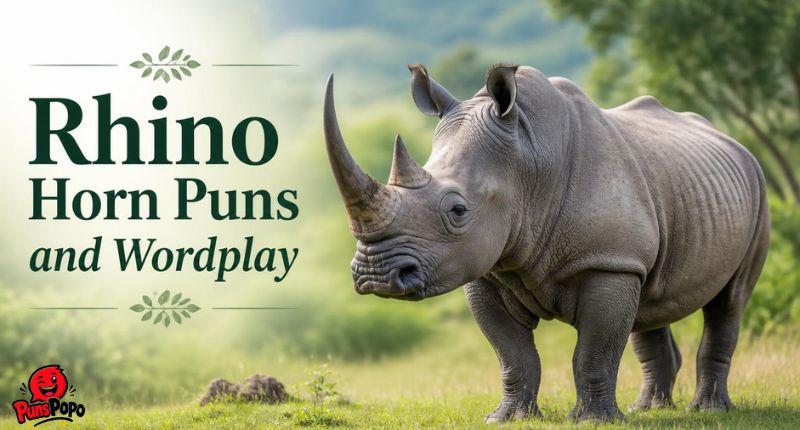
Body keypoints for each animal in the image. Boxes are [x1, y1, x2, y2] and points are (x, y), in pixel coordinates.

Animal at [322, 64, 770, 423]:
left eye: (458, 210)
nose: (376, 276)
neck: (529, 164)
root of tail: (734, 143)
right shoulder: (488, 268)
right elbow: (512, 354)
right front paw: (508, 418)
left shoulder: (605, 262)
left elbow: (594, 351)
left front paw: (592, 422)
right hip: (663, 203)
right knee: (647, 300)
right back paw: (649, 410)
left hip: (757, 189)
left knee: (729, 301)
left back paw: (708, 410)